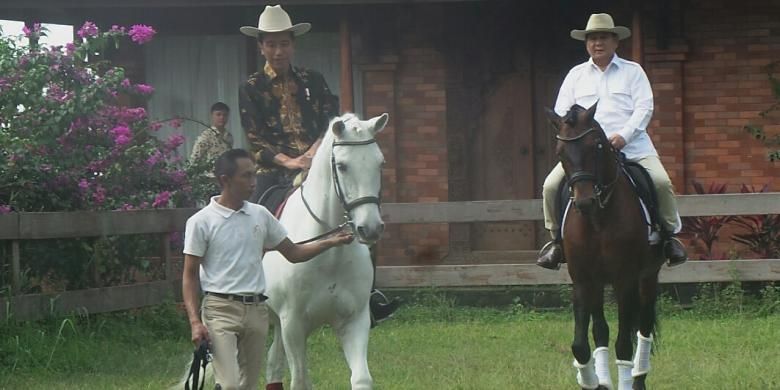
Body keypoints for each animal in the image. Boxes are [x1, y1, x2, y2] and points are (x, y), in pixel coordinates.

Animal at [264, 112, 388, 390]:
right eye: (342, 166)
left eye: (380, 164)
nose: (370, 229)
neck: (328, 252)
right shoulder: (293, 325)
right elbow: (300, 380)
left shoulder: (354, 321)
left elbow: (361, 378)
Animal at [548, 104, 664, 390]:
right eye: (560, 152)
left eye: (596, 146)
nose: (584, 202)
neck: (598, 219)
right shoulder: (582, 279)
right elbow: (581, 344)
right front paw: (590, 380)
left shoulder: (626, 279)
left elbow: (623, 345)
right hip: (599, 283)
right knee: (600, 330)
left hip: (647, 276)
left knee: (643, 327)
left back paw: (638, 378)